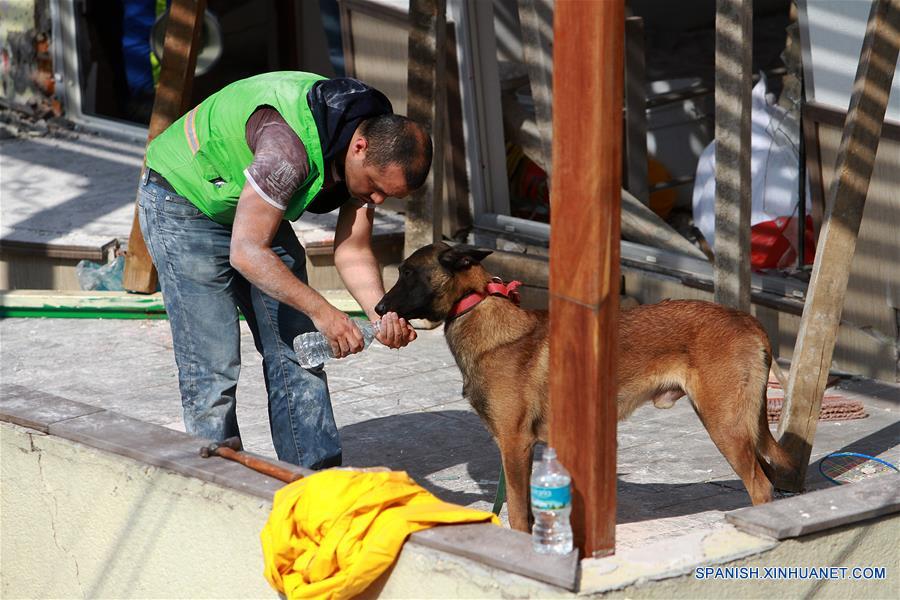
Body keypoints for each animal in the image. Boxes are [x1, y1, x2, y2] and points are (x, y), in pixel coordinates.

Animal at [374, 240, 796, 528]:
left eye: (407, 273)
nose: (377, 308)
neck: (478, 308)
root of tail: (748, 320)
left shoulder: (515, 444)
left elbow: (517, 512)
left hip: (725, 425)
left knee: (760, 486)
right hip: (739, 427)